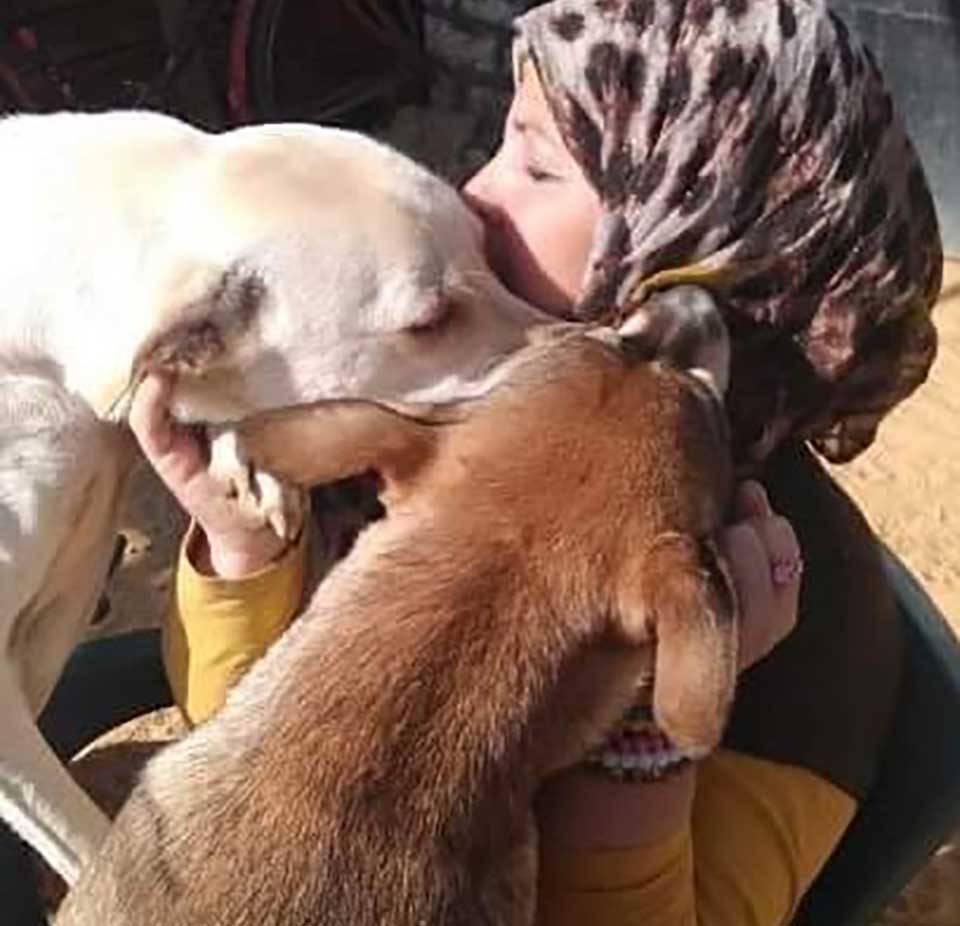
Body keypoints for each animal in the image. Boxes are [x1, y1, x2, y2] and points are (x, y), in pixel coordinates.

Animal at [0, 112, 548, 888]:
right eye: (430, 320)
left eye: (490, 246)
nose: (607, 336)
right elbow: (87, 841)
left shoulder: (69, 577)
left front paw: (242, 457)